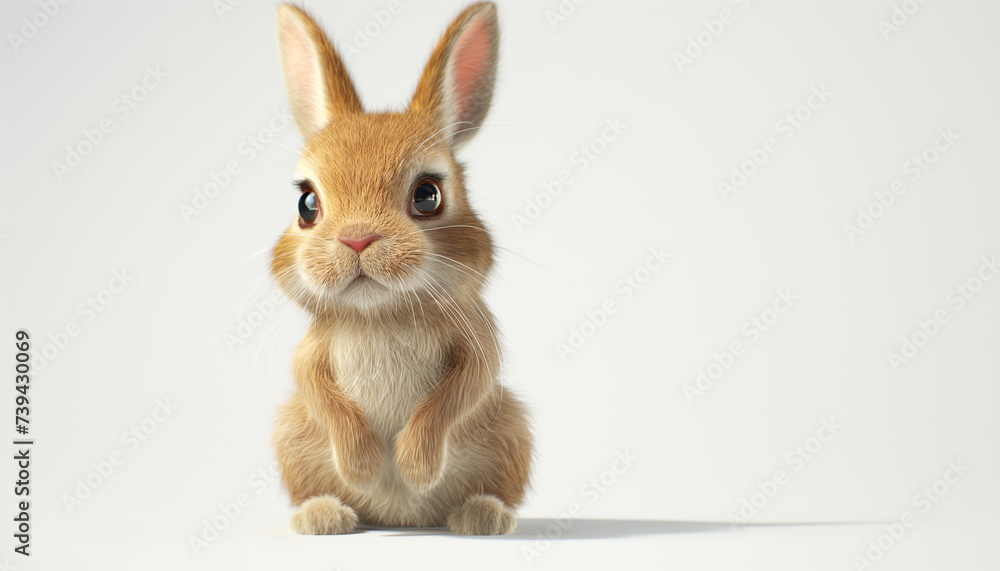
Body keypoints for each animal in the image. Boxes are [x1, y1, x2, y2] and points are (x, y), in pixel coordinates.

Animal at [268, 2, 533, 536]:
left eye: (427, 195)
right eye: (307, 203)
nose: (357, 238)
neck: (381, 313)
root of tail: (403, 519)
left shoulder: (476, 344)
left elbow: (456, 396)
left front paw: (415, 466)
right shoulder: (314, 353)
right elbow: (321, 392)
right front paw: (364, 465)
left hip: (512, 431)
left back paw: (481, 514)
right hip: (291, 435)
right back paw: (324, 515)